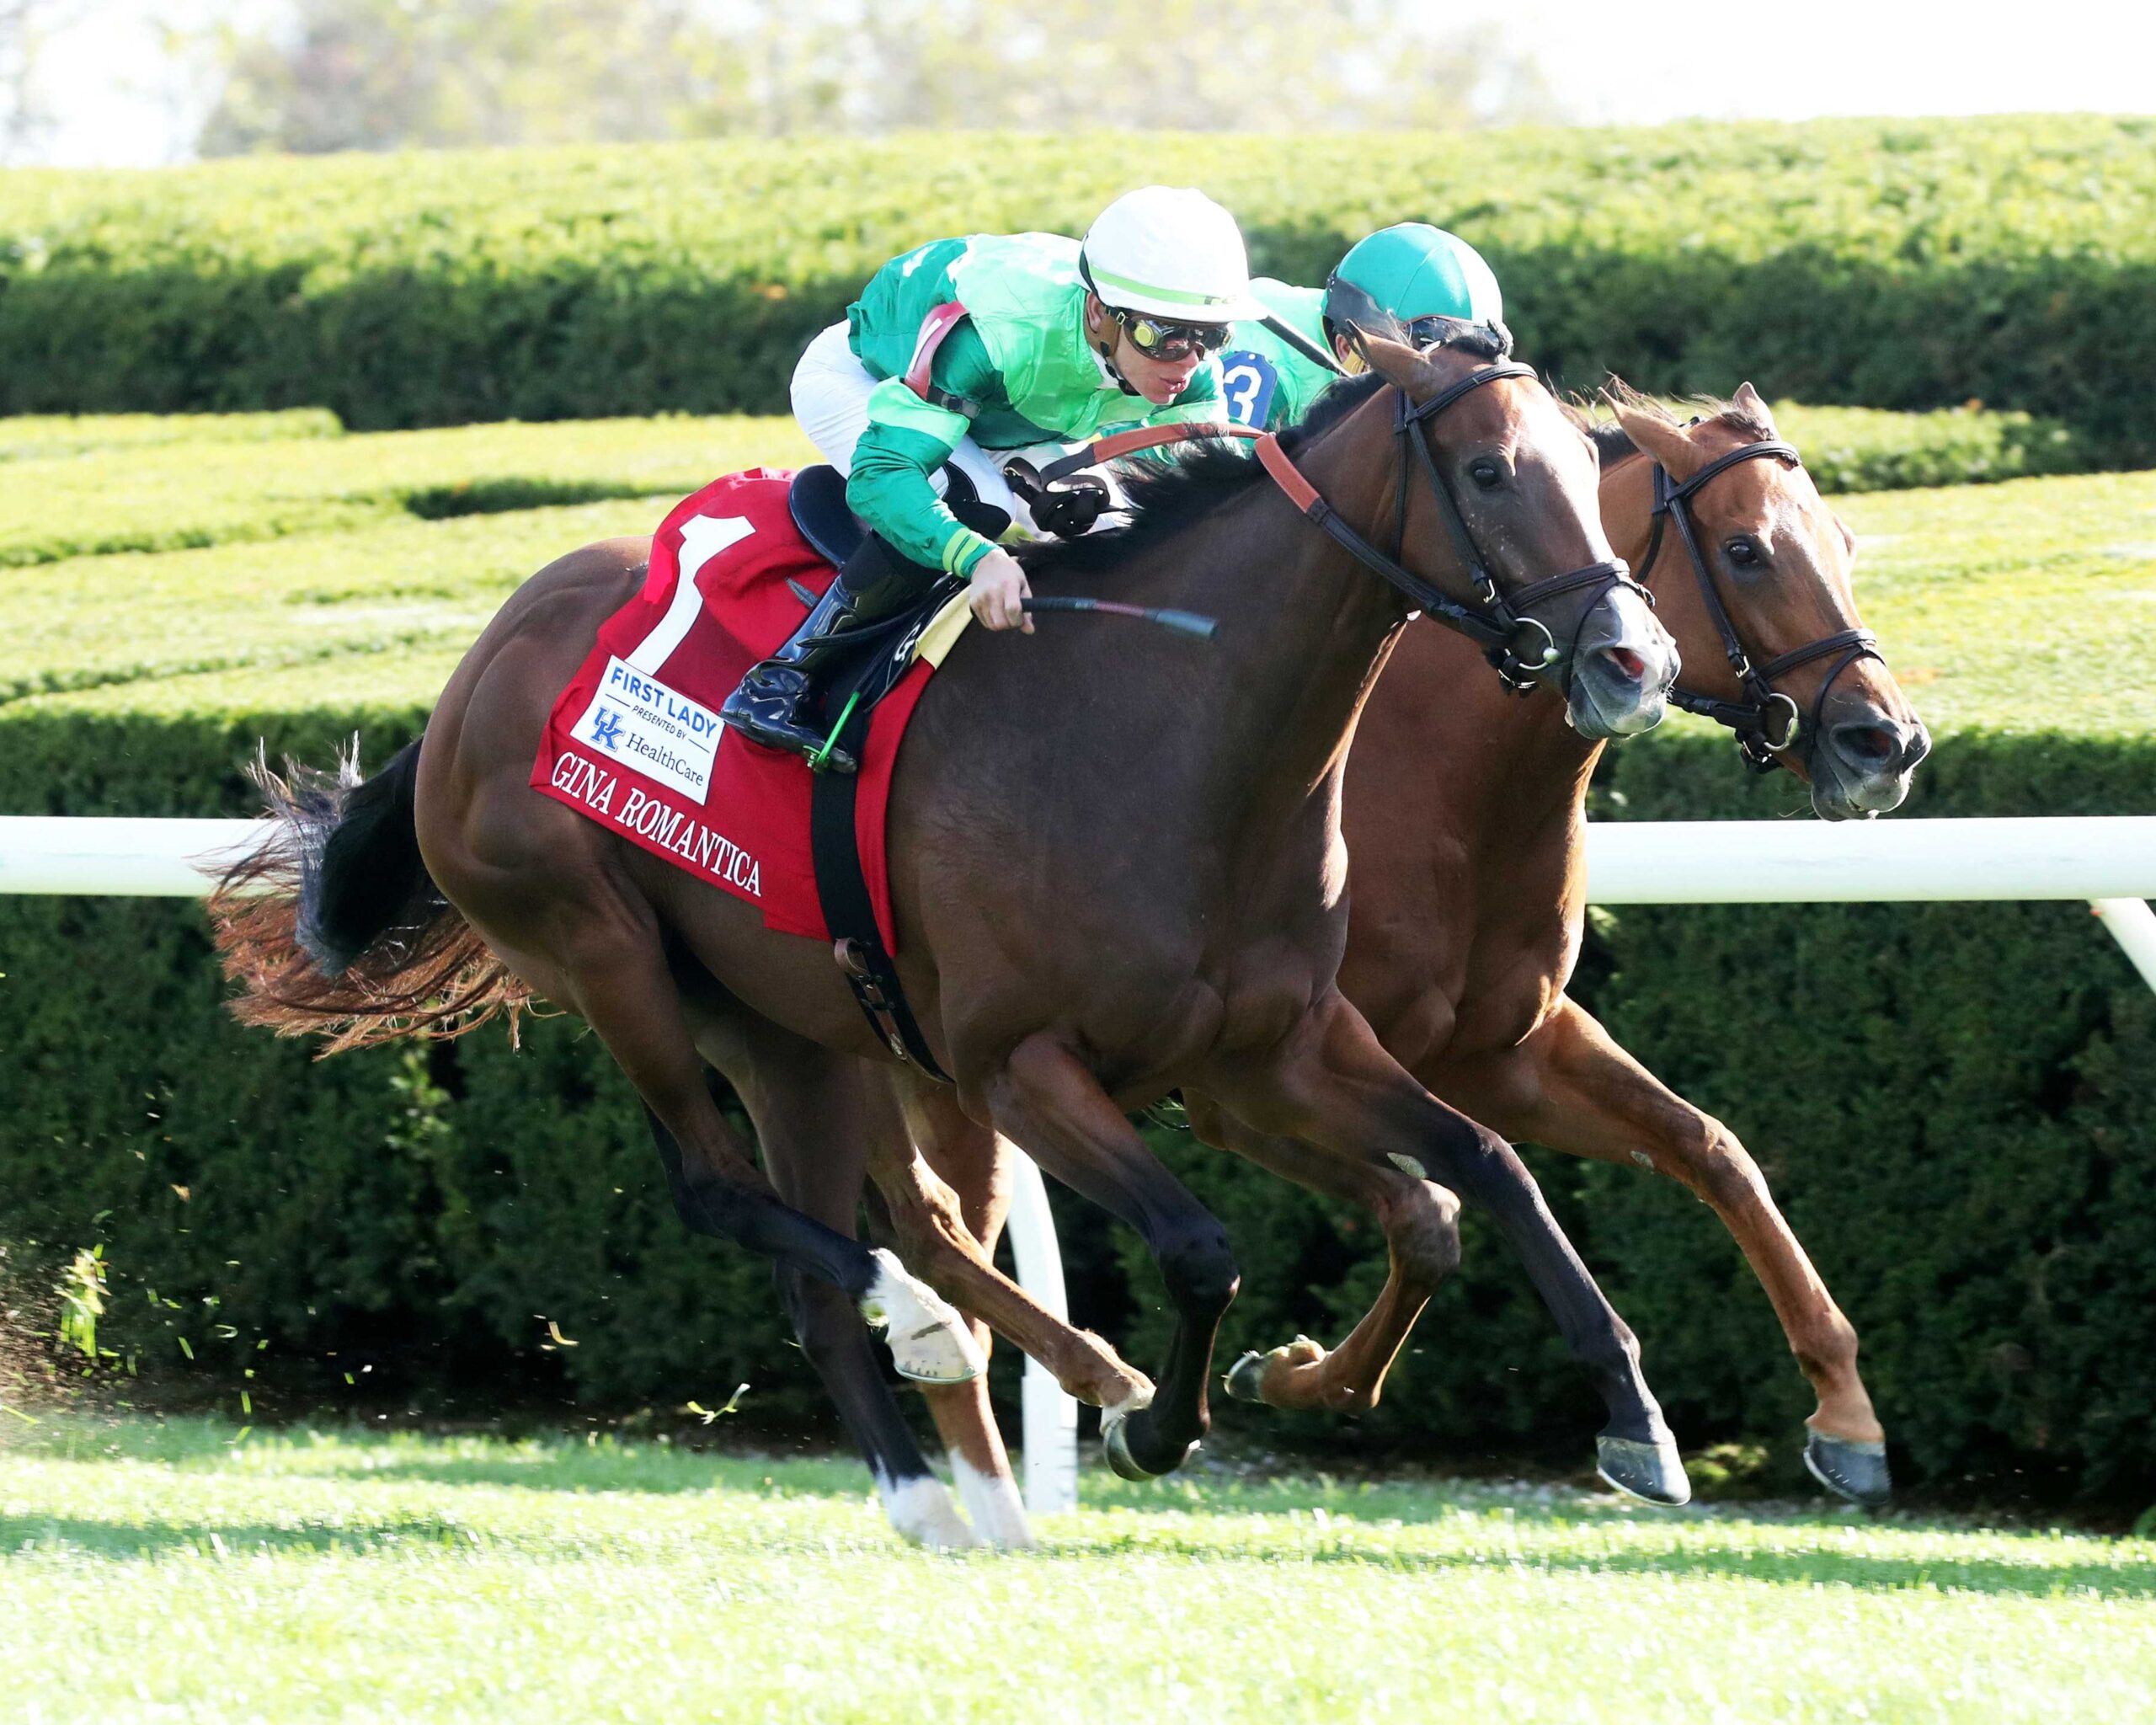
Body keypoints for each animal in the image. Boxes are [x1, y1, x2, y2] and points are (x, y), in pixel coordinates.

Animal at [212, 333, 1687, 1547]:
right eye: (1490, 470)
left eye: (1588, 465)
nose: (1635, 659)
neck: (1174, 732)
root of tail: (469, 676)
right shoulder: (1018, 1064)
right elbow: (1201, 1244)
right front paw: (1155, 1421)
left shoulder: (1281, 1045)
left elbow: (1477, 1174)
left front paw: (1635, 1421)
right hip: (602, 951)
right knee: (737, 1196)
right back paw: (995, 1354)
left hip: (784, 1025)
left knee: (866, 1240)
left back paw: (932, 1484)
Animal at [764, 380, 1927, 1546]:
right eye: (1744, 550)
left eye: (1842, 539)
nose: (1888, 741)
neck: (1438, 779)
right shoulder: (1240, 1085)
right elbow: (1420, 1211)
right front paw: (1285, 1376)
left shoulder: (1501, 1048)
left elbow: (1704, 1147)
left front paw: (1846, 1415)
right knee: (926, 1229)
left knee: (932, 1228)